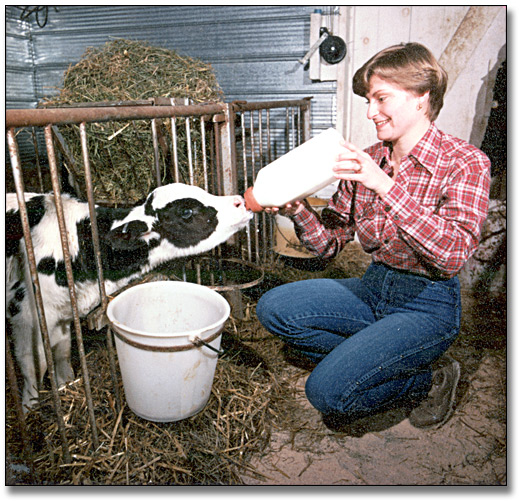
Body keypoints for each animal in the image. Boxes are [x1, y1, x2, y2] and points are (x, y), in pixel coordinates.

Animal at [6, 184, 252, 410]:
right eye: (186, 212)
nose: (240, 201)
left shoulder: (63, 314)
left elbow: (62, 351)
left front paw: (65, 383)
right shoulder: (26, 312)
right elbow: (33, 363)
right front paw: (30, 408)